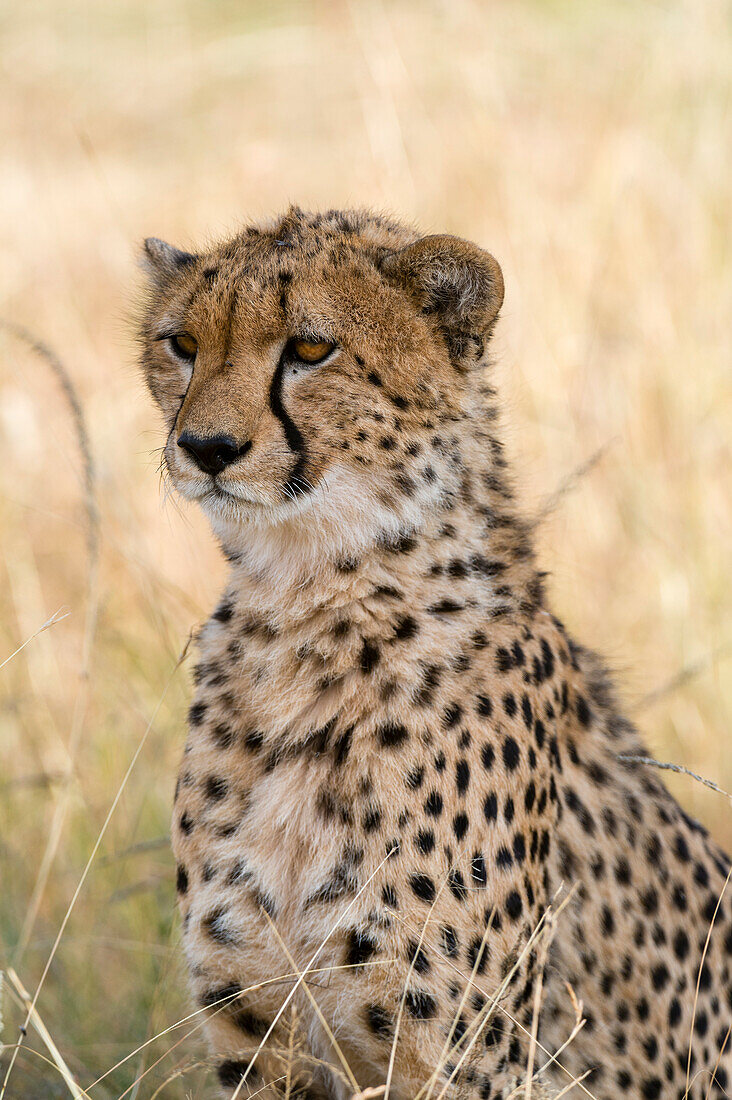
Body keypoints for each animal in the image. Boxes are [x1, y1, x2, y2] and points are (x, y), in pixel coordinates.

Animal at [138, 207, 730, 1100]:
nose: (206, 446)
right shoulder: (260, 1035)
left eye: (311, 348)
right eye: (181, 343)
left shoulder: (462, 1057)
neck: (306, 607)